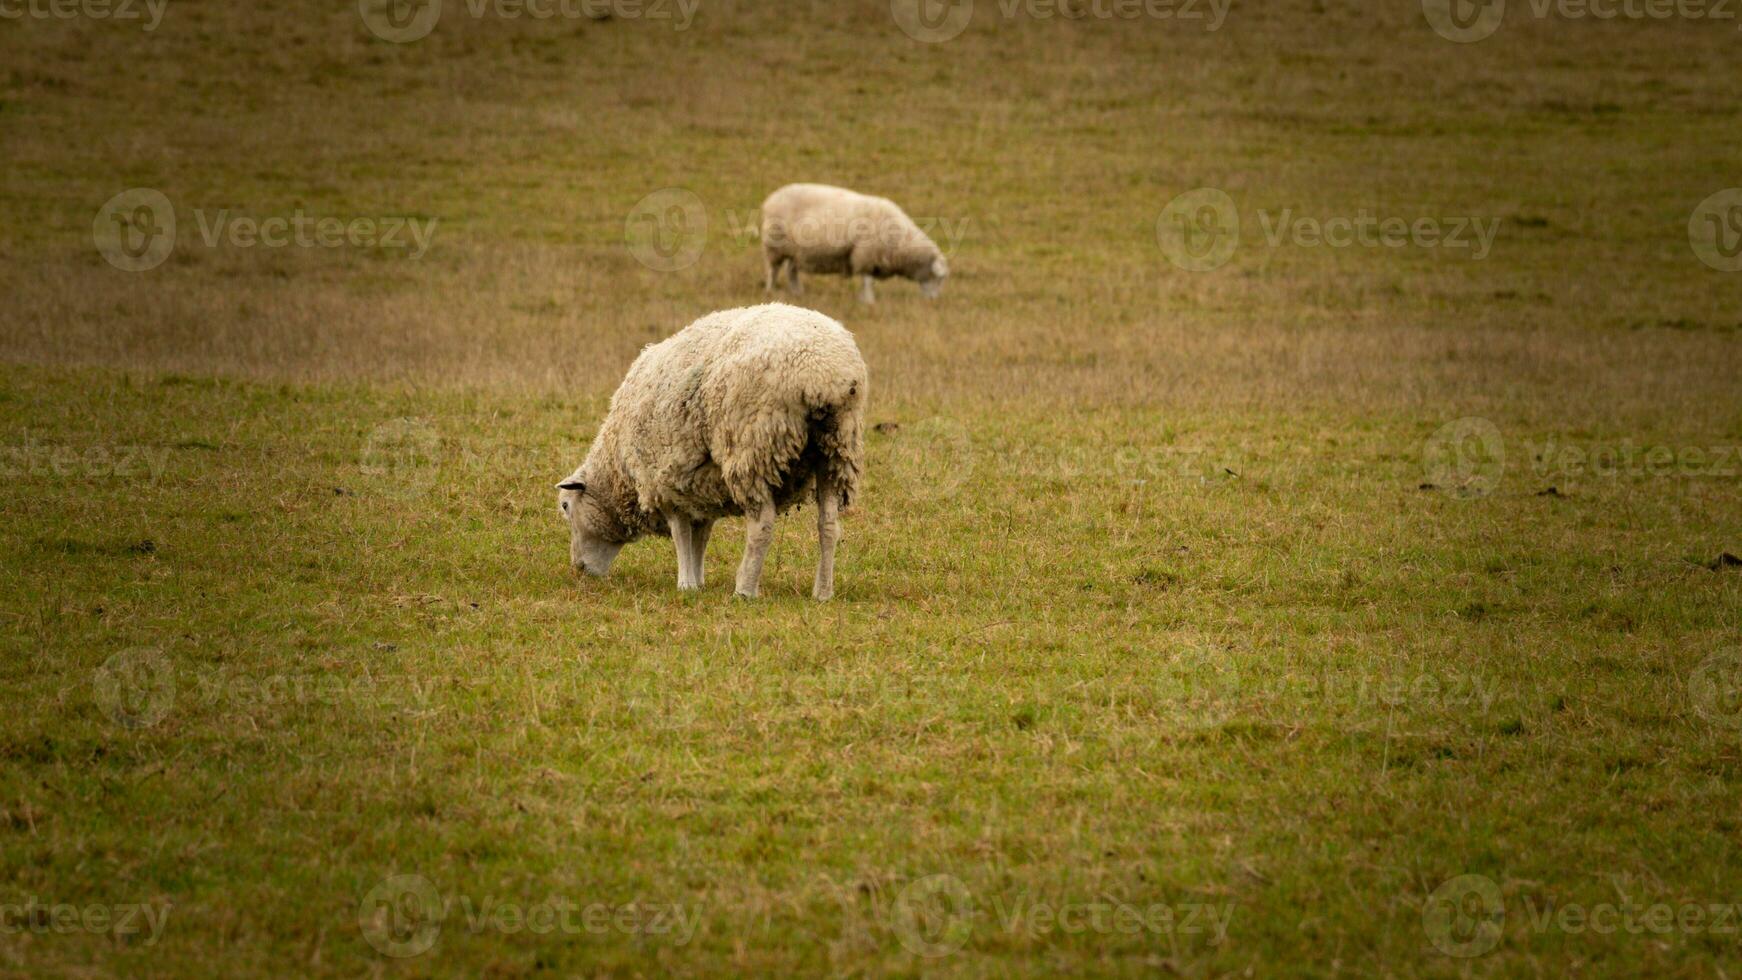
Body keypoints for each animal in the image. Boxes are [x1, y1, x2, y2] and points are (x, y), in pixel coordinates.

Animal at [553, 302, 867, 602]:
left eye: (565, 506)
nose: (579, 569)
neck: (618, 468)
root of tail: (824, 373)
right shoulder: (701, 487)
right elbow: (700, 536)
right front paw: (698, 580)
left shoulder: (664, 482)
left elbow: (681, 534)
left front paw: (686, 584)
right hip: (835, 448)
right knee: (828, 524)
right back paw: (823, 592)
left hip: (752, 447)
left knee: (762, 525)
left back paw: (745, 589)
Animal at [762, 184, 954, 304]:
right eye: (939, 278)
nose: (933, 301)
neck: (900, 241)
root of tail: (770, 198)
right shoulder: (866, 255)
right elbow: (868, 281)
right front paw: (869, 301)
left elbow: (866, 282)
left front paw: (863, 299)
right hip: (774, 244)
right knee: (773, 270)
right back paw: (771, 290)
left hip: (796, 251)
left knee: (791, 271)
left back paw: (798, 292)